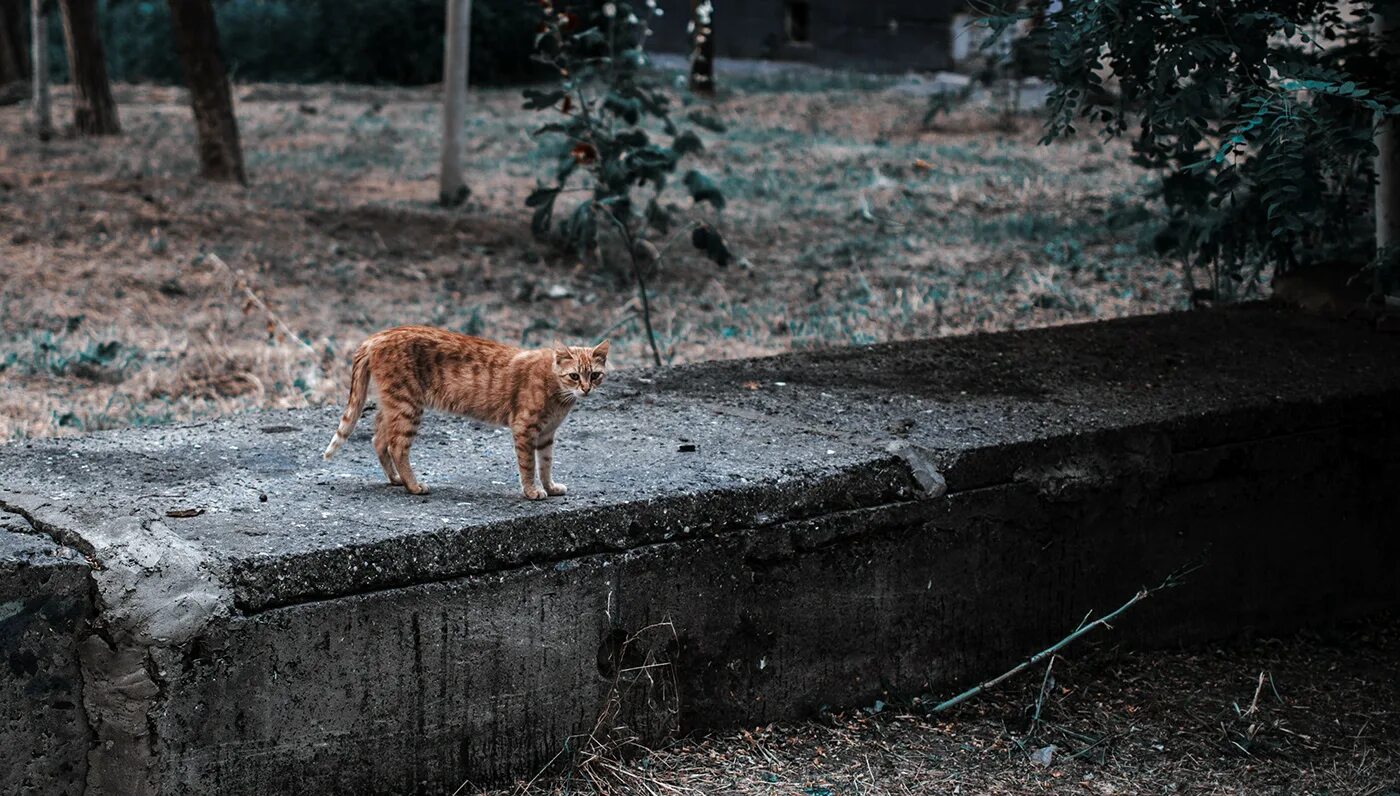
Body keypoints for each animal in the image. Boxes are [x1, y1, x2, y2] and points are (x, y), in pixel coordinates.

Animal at [322, 324, 607, 498]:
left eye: (594, 375)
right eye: (574, 376)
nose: (586, 389)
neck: (559, 396)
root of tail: (378, 335)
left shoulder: (547, 436)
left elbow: (546, 465)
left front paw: (550, 486)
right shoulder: (525, 429)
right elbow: (528, 466)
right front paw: (532, 491)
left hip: (393, 406)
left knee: (379, 440)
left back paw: (396, 479)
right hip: (407, 407)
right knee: (397, 446)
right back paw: (413, 485)